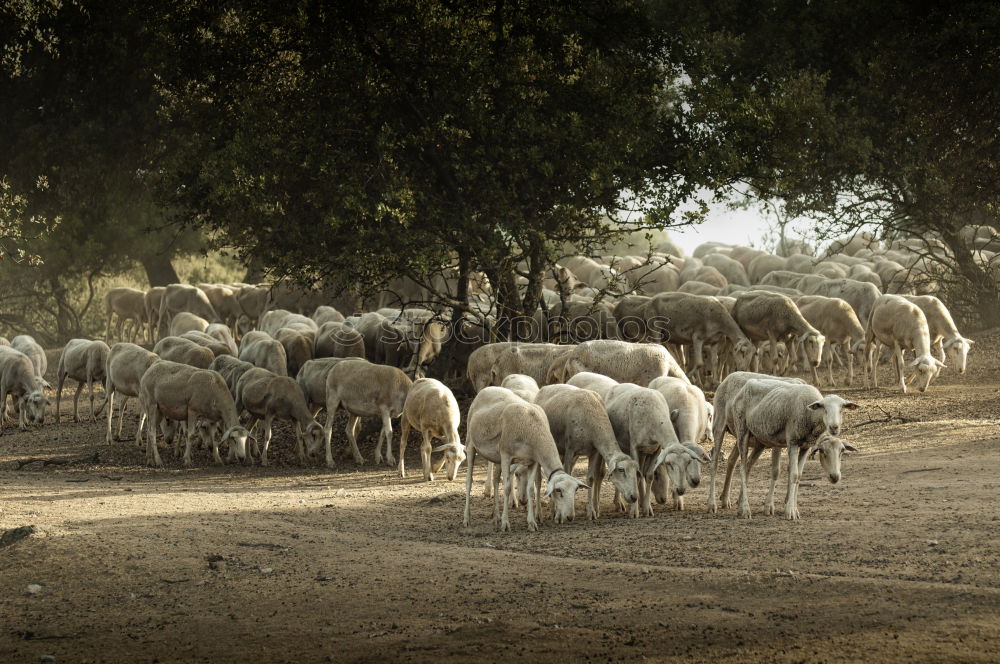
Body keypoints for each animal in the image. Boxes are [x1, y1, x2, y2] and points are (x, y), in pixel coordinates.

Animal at [464, 386, 588, 532]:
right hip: (471, 444)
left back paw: (496, 517)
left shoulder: (532, 460)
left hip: (496, 456)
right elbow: (507, 488)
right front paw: (505, 523)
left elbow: (530, 489)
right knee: (469, 482)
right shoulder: (506, 455)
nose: (570, 517)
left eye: (576, 490)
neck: (533, 428)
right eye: (558, 491)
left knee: (495, 480)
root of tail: (487, 389)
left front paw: (531, 523)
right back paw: (467, 519)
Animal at [532, 384, 640, 520]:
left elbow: (590, 479)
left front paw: (591, 512)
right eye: (621, 470)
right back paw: (539, 514)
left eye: (636, 471)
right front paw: (560, 514)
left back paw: (552, 510)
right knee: (538, 480)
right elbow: (566, 476)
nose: (634, 497)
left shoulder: (594, 452)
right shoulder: (570, 449)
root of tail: (545, 387)